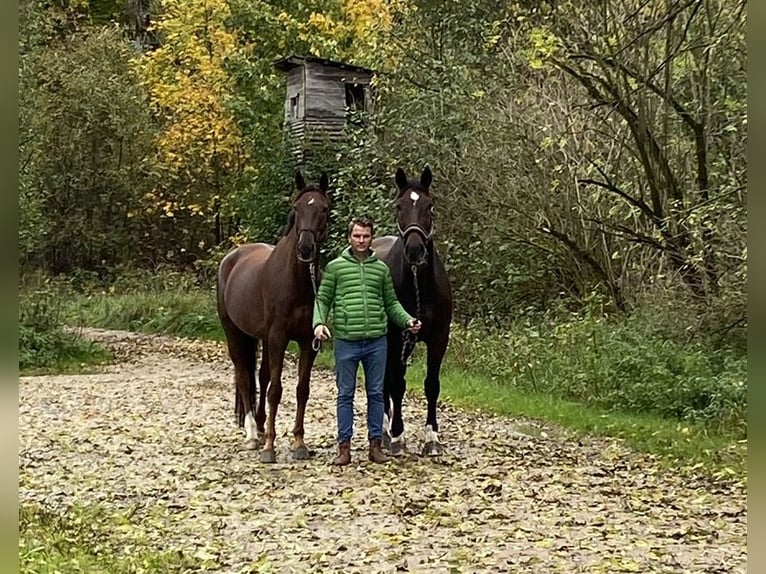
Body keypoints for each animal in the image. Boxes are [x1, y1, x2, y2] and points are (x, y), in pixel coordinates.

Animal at [216, 171, 330, 464]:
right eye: (296, 208)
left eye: (323, 209)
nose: (305, 248)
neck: (297, 282)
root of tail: (232, 257)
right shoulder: (279, 337)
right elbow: (275, 391)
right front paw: (269, 446)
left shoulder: (308, 342)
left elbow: (302, 389)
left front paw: (299, 443)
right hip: (234, 333)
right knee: (244, 377)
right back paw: (253, 435)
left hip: (263, 339)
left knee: (262, 375)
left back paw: (259, 423)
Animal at [374, 166, 452, 460]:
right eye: (399, 206)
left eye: (430, 206)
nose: (415, 250)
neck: (421, 285)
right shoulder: (397, 337)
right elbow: (397, 384)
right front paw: (398, 435)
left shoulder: (439, 338)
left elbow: (432, 385)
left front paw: (432, 438)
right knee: (385, 382)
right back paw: (386, 431)